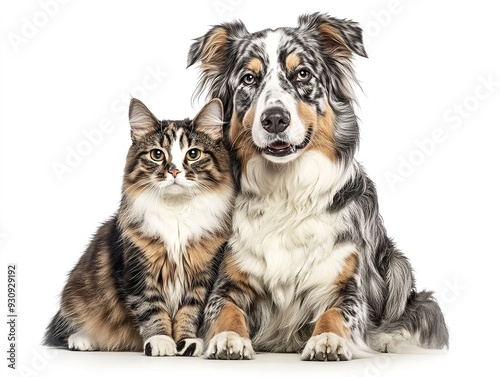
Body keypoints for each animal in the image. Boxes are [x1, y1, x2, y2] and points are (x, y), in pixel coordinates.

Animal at [43, 97, 234, 356]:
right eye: (157, 154)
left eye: (193, 154)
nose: (174, 171)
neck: (176, 211)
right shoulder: (139, 272)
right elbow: (152, 310)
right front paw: (161, 341)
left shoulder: (202, 275)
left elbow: (189, 312)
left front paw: (186, 342)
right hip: (75, 296)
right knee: (64, 330)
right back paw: (83, 340)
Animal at [187, 11, 450, 358]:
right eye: (248, 79)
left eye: (302, 74)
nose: (275, 119)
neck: (286, 190)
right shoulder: (227, 282)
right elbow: (224, 310)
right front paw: (228, 338)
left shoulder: (347, 283)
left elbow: (337, 313)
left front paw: (328, 339)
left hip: (397, 266)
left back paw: (389, 339)